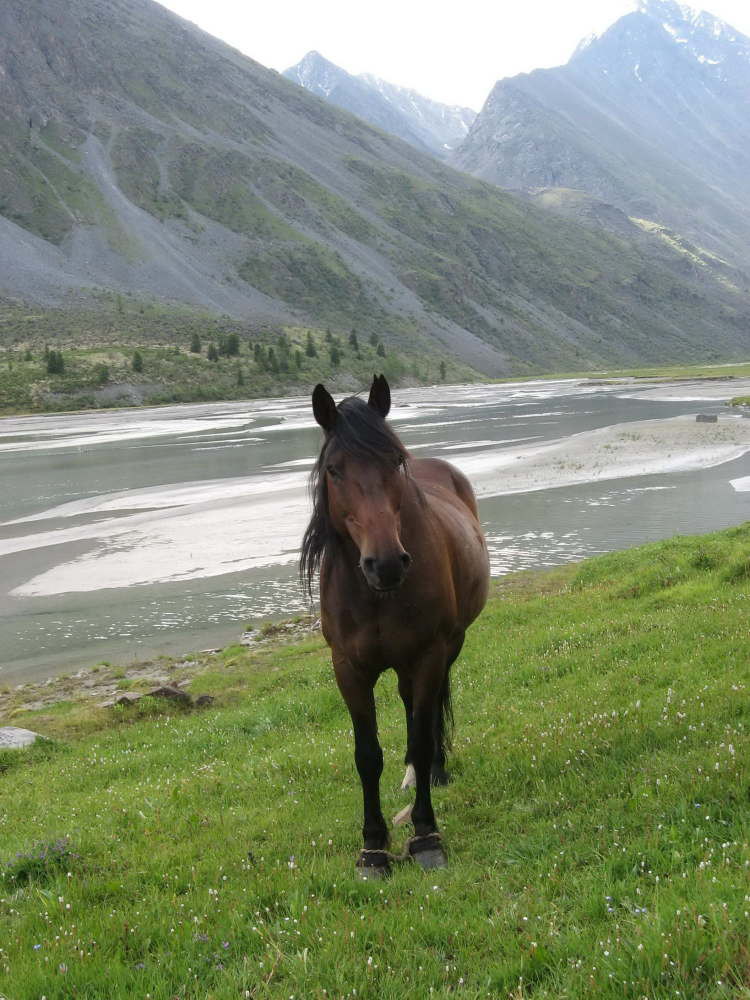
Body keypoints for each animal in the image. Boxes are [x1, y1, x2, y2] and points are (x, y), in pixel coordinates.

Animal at [302, 376, 490, 876]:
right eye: (334, 470)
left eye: (394, 462)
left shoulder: (427, 655)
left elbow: (422, 739)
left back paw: (436, 773)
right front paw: (373, 847)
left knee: (428, 714)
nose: (385, 563)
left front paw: (425, 836)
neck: (375, 596)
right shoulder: (348, 669)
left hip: (448, 647)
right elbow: (367, 755)